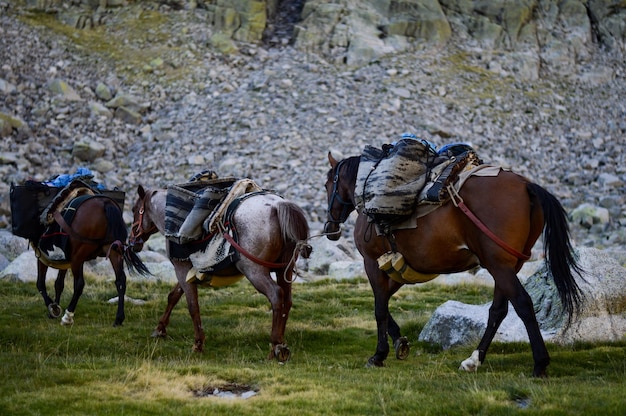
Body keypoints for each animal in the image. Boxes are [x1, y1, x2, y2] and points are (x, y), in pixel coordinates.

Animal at [35, 196, 150, 328]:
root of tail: (105, 203)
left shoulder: (42, 256)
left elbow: (41, 284)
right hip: (113, 251)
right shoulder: (64, 261)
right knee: (120, 280)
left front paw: (53, 308)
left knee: (79, 284)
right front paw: (55, 307)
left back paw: (68, 317)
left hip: (78, 258)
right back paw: (118, 319)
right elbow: (58, 284)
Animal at [129, 184, 310, 360]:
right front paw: (160, 329)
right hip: (284, 270)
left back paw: (276, 345)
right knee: (287, 300)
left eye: (134, 209)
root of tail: (277, 205)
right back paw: (281, 343)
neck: (172, 220)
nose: (132, 242)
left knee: (276, 295)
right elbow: (173, 296)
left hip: (255, 270)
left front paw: (198, 344)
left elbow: (192, 305)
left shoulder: (181, 268)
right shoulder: (188, 271)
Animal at [324, 152, 584, 376]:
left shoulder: (372, 263)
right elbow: (384, 303)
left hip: (499, 266)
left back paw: (540, 363)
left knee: (523, 304)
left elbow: (379, 308)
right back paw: (474, 360)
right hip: (506, 266)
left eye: (327, 185)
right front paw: (399, 340)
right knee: (498, 310)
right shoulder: (404, 268)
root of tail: (526, 185)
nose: (330, 228)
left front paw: (379, 355)